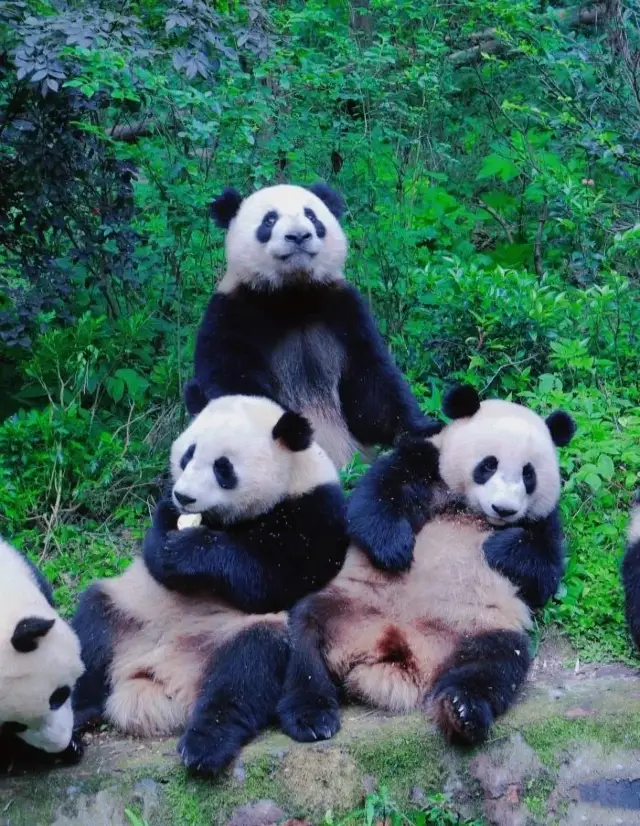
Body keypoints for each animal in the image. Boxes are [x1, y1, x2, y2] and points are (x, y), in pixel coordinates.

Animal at [71, 395, 349, 776]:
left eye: (223, 467)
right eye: (188, 454)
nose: (185, 496)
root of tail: (155, 676)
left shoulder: (314, 512)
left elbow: (273, 577)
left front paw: (189, 551)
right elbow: (153, 545)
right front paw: (170, 543)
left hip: (226, 636)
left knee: (247, 666)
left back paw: (205, 744)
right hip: (129, 608)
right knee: (90, 630)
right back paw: (68, 719)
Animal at [183, 182, 440, 469]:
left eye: (312, 216)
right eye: (269, 220)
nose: (298, 235)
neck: (293, 294)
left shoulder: (343, 312)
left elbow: (372, 386)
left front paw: (421, 431)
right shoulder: (232, 315)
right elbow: (236, 385)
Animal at [278, 384, 576, 747]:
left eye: (528, 474)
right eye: (488, 465)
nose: (504, 509)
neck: (470, 509)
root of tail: (397, 657)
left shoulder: (545, 520)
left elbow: (544, 571)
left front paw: (495, 548)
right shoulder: (426, 461)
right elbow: (373, 501)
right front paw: (395, 548)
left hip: (475, 630)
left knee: (494, 665)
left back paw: (462, 711)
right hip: (349, 607)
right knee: (303, 637)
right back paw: (311, 717)